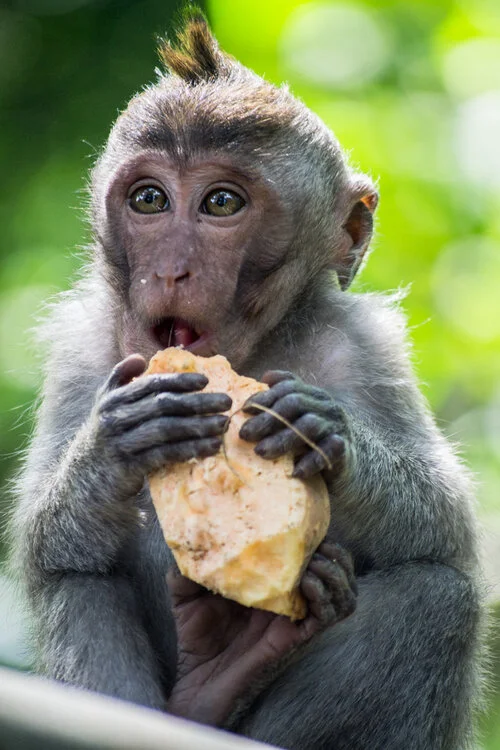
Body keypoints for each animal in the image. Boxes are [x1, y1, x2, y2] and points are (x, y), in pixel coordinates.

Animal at [11, 11, 483, 750]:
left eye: (222, 203)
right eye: (151, 199)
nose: (171, 268)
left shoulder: (368, 347)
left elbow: (448, 530)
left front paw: (325, 433)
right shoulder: (80, 351)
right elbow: (41, 546)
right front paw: (118, 441)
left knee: (439, 596)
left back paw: (231, 668)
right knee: (77, 582)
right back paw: (207, 681)